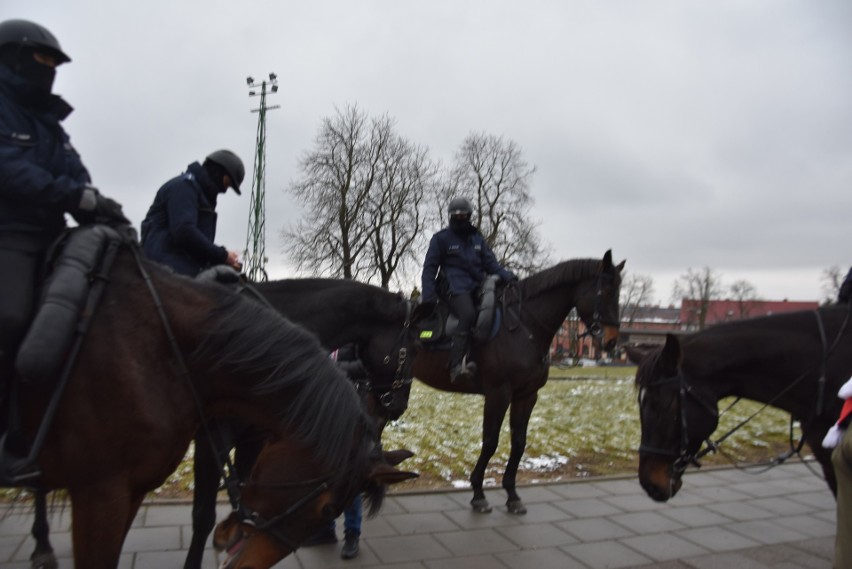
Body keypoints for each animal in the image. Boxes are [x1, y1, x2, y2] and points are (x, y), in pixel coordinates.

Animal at [8, 239, 414, 568]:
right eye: (412, 348)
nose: (394, 408)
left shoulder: (257, 438)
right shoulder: (210, 440)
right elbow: (202, 515)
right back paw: (41, 544)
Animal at [412, 251, 624, 512]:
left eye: (619, 291)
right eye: (605, 291)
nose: (612, 341)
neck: (523, 326)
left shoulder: (526, 396)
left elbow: (519, 443)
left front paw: (511, 494)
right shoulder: (498, 394)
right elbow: (490, 442)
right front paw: (478, 492)